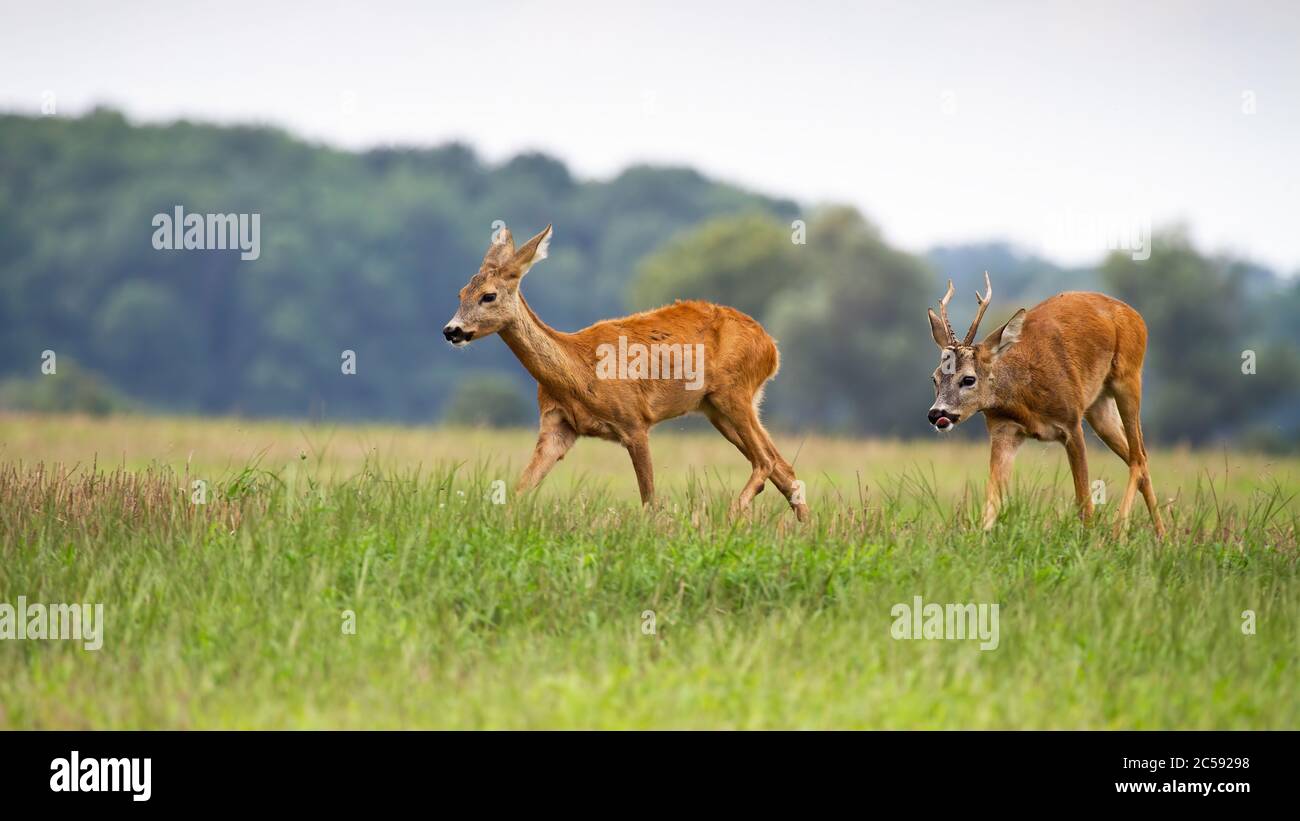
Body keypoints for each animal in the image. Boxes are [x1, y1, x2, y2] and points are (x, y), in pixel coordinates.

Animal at [443, 223, 809, 522]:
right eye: (460, 293)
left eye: (488, 295)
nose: (451, 330)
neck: (578, 372)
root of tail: (771, 347)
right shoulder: (557, 426)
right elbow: (520, 491)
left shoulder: (634, 420)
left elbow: (650, 500)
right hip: (716, 407)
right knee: (784, 468)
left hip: (734, 391)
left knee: (766, 461)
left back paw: (732, 515)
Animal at [925, 272, 1166, 537]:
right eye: (935, 378)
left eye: (968, 379)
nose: (937, 413)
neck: (1024, 396)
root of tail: (1137, 317)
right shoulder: (1002, 430)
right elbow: (991, 504)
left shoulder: (1071, 423)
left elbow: (1084, 502)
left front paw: (1089, 540)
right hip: (1099, 406)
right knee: (1140, 457)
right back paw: (1162, 536)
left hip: (1128, 377)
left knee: (1137, 457)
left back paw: (1118, 533)